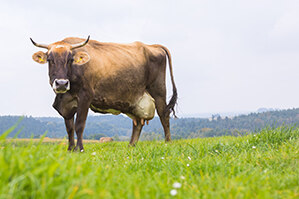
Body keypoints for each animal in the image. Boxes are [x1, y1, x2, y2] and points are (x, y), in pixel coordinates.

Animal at [31, 36, 178, 151]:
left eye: (70, 60)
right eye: (49, 60)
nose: (61, 83)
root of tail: (151, 46)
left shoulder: (85, 96)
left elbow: (79, 125)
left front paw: (80, 149)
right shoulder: (66, 103)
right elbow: (69, 128)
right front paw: (70, 149)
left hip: (158, 91)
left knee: (164, 115)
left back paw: (168, 143)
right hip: (135, 99)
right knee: (137, 123)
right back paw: (131, 146)